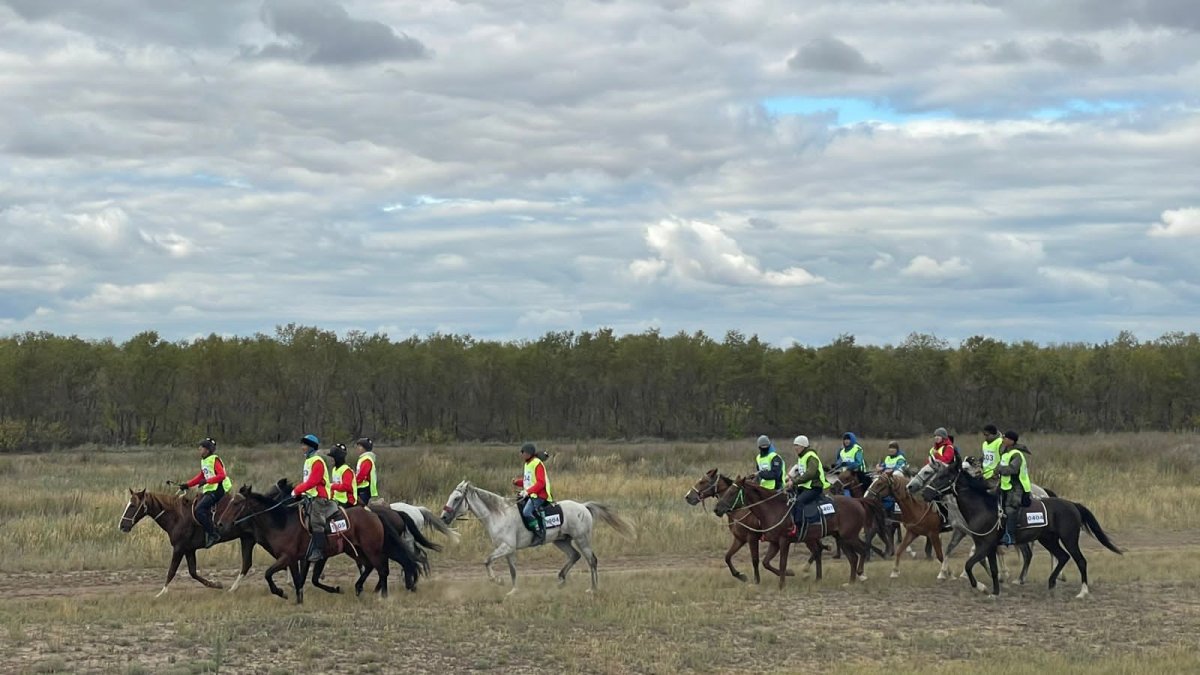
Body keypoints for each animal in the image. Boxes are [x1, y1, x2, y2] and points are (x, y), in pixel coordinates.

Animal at [119, 487, 258, 593]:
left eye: (132, 505)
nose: (122, 525)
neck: (177, 516)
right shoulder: (188, 549)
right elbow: (192, 572)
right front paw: (216, 584)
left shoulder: (179, 548)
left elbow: (171, 571)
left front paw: (161, 593)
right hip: (247, 538)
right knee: (246, 564)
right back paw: (233, 588)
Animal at [441, 478, 638, 593]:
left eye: (457, 498)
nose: (443, 517)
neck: (499, 514)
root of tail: (583, 507)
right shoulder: (509, 550)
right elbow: (512, 570)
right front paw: (513, 591)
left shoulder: (506, 547)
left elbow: (487, 561)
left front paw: (497, 581)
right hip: (561, 541)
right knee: (575, 556)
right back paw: (561, 579)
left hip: (582, 539)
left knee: (592, 560)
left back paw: (593, 588)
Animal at [710, 475, 892, 586]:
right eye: (726, 490)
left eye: (733, 492)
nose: (717, 509)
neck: (772, 508)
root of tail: (858, 501)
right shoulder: (772, 542)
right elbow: (764, 562)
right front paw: (788, 574)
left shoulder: (779, 541)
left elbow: (778, 562)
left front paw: (780, 582)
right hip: (839, 538)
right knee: (851, 557)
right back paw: (849, 580)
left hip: (848, 537)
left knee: (862, 551)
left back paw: (861, 574)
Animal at [916, 456, 1123, 593]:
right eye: (935, 475)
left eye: (942, 477)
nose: (924, 493)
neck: (983, 507)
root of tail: (1072, 504)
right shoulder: (986, 545)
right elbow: (990, 568)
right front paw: (994, 591)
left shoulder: (985, 544)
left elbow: (969, 564)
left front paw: (981, 586)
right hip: (1048, 539)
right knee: (1062, 557)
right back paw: (1050, 582)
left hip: (1069, 538)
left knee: (1079, 560)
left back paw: (1082, 591)